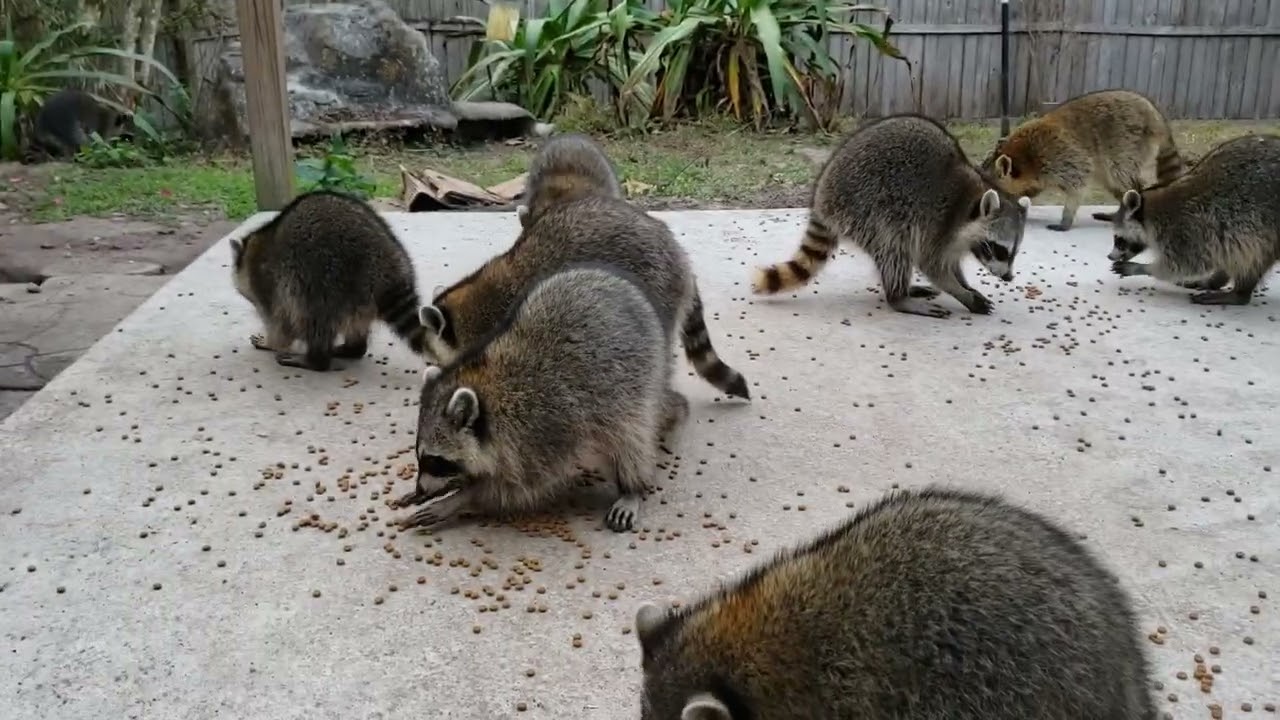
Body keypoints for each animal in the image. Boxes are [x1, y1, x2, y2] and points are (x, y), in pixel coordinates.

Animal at [229, 190, 428, 371]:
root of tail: (388, 269)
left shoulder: (268, 283)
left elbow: (279, 322)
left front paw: (271, 342)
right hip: (357, 293)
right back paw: (353, 348)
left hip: (324, 281)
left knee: (311, 317)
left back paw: (315, 359)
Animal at [393, 265, 688, 533]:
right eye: (421, 456)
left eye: (435, 460)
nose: (420, 490)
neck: (488, 393)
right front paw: (454, 485)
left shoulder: (544, 433)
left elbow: (521, 488)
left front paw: (460, 498)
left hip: (638, 381)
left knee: (630, 439)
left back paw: (632, 487)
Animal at [750, 113, 1030, 319]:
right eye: (1000, 249)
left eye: (1014, 251)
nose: (1008, 277)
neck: (972, 202)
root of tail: (822, 196)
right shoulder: (938, 224)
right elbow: (933, 266)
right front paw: (962, 293)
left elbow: (951, 264)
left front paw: (966, 285)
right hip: (868, 206)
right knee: (896, 245)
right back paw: (898, 297)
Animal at [981, 89, 1187, 232]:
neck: (1022, 157)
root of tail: (1155, 115)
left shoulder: (1063, 157)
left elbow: (1077, 186)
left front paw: (1066, 218)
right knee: (1114, 183)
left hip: (1128, 144)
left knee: (1124, 177)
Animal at [1106, 133, 1280, 306]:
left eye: (1118, 239)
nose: (1109, 256)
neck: (1149, 213)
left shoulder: (1186, 233)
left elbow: (1182, 265)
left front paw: (1143, 268)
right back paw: (1215, 281)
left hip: (1268, 229)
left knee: (1254, 256)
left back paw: (1239, 294)